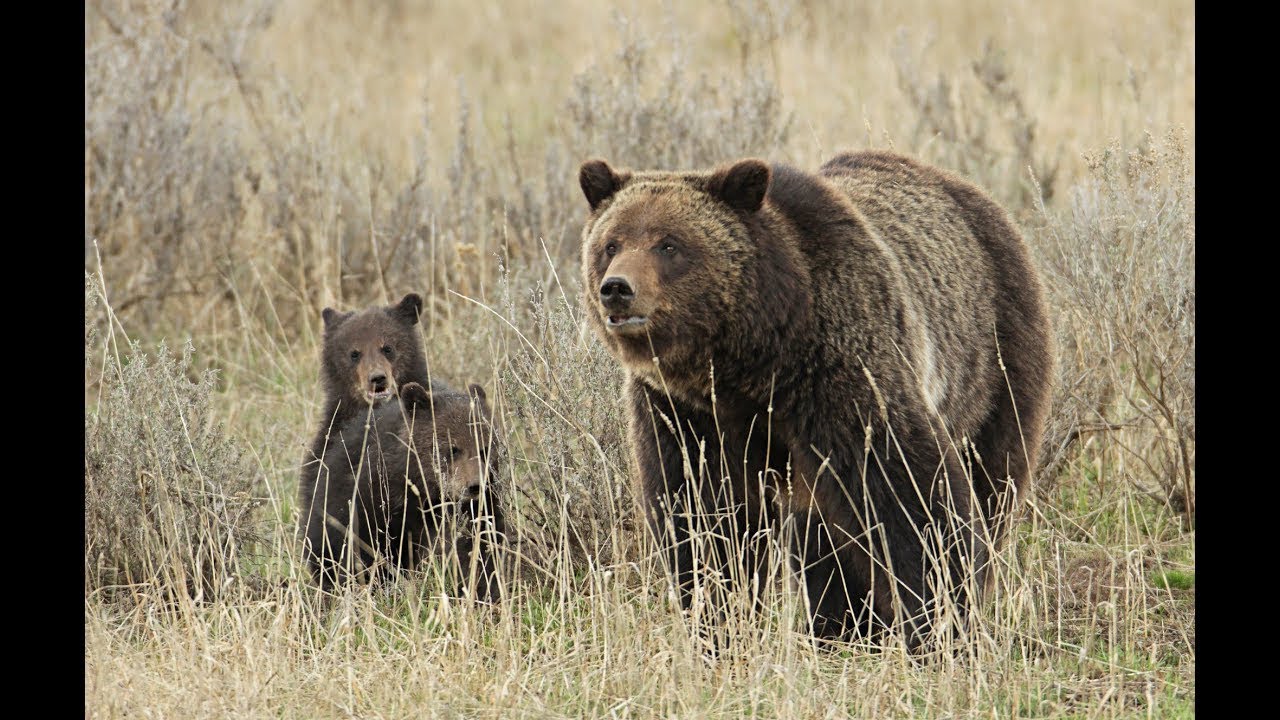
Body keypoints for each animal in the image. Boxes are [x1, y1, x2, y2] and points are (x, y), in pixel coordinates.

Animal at [298, 380, 507, 598]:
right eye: (452, 449)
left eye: (485, 448)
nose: (475, 486)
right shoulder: (375, 501)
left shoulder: (478, 509)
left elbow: (480, 546)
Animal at [577, 150, 1053, 649]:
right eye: (611, 243)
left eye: (669, 245)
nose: (617, 288)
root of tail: (960, 186)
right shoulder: (683, 412)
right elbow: (702, 513)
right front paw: (717, 621)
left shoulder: (841, 371)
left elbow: (909, 491)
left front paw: (942, 622)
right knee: (822, 537)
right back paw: (839, 625)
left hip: (993, 359)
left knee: (993, 477)